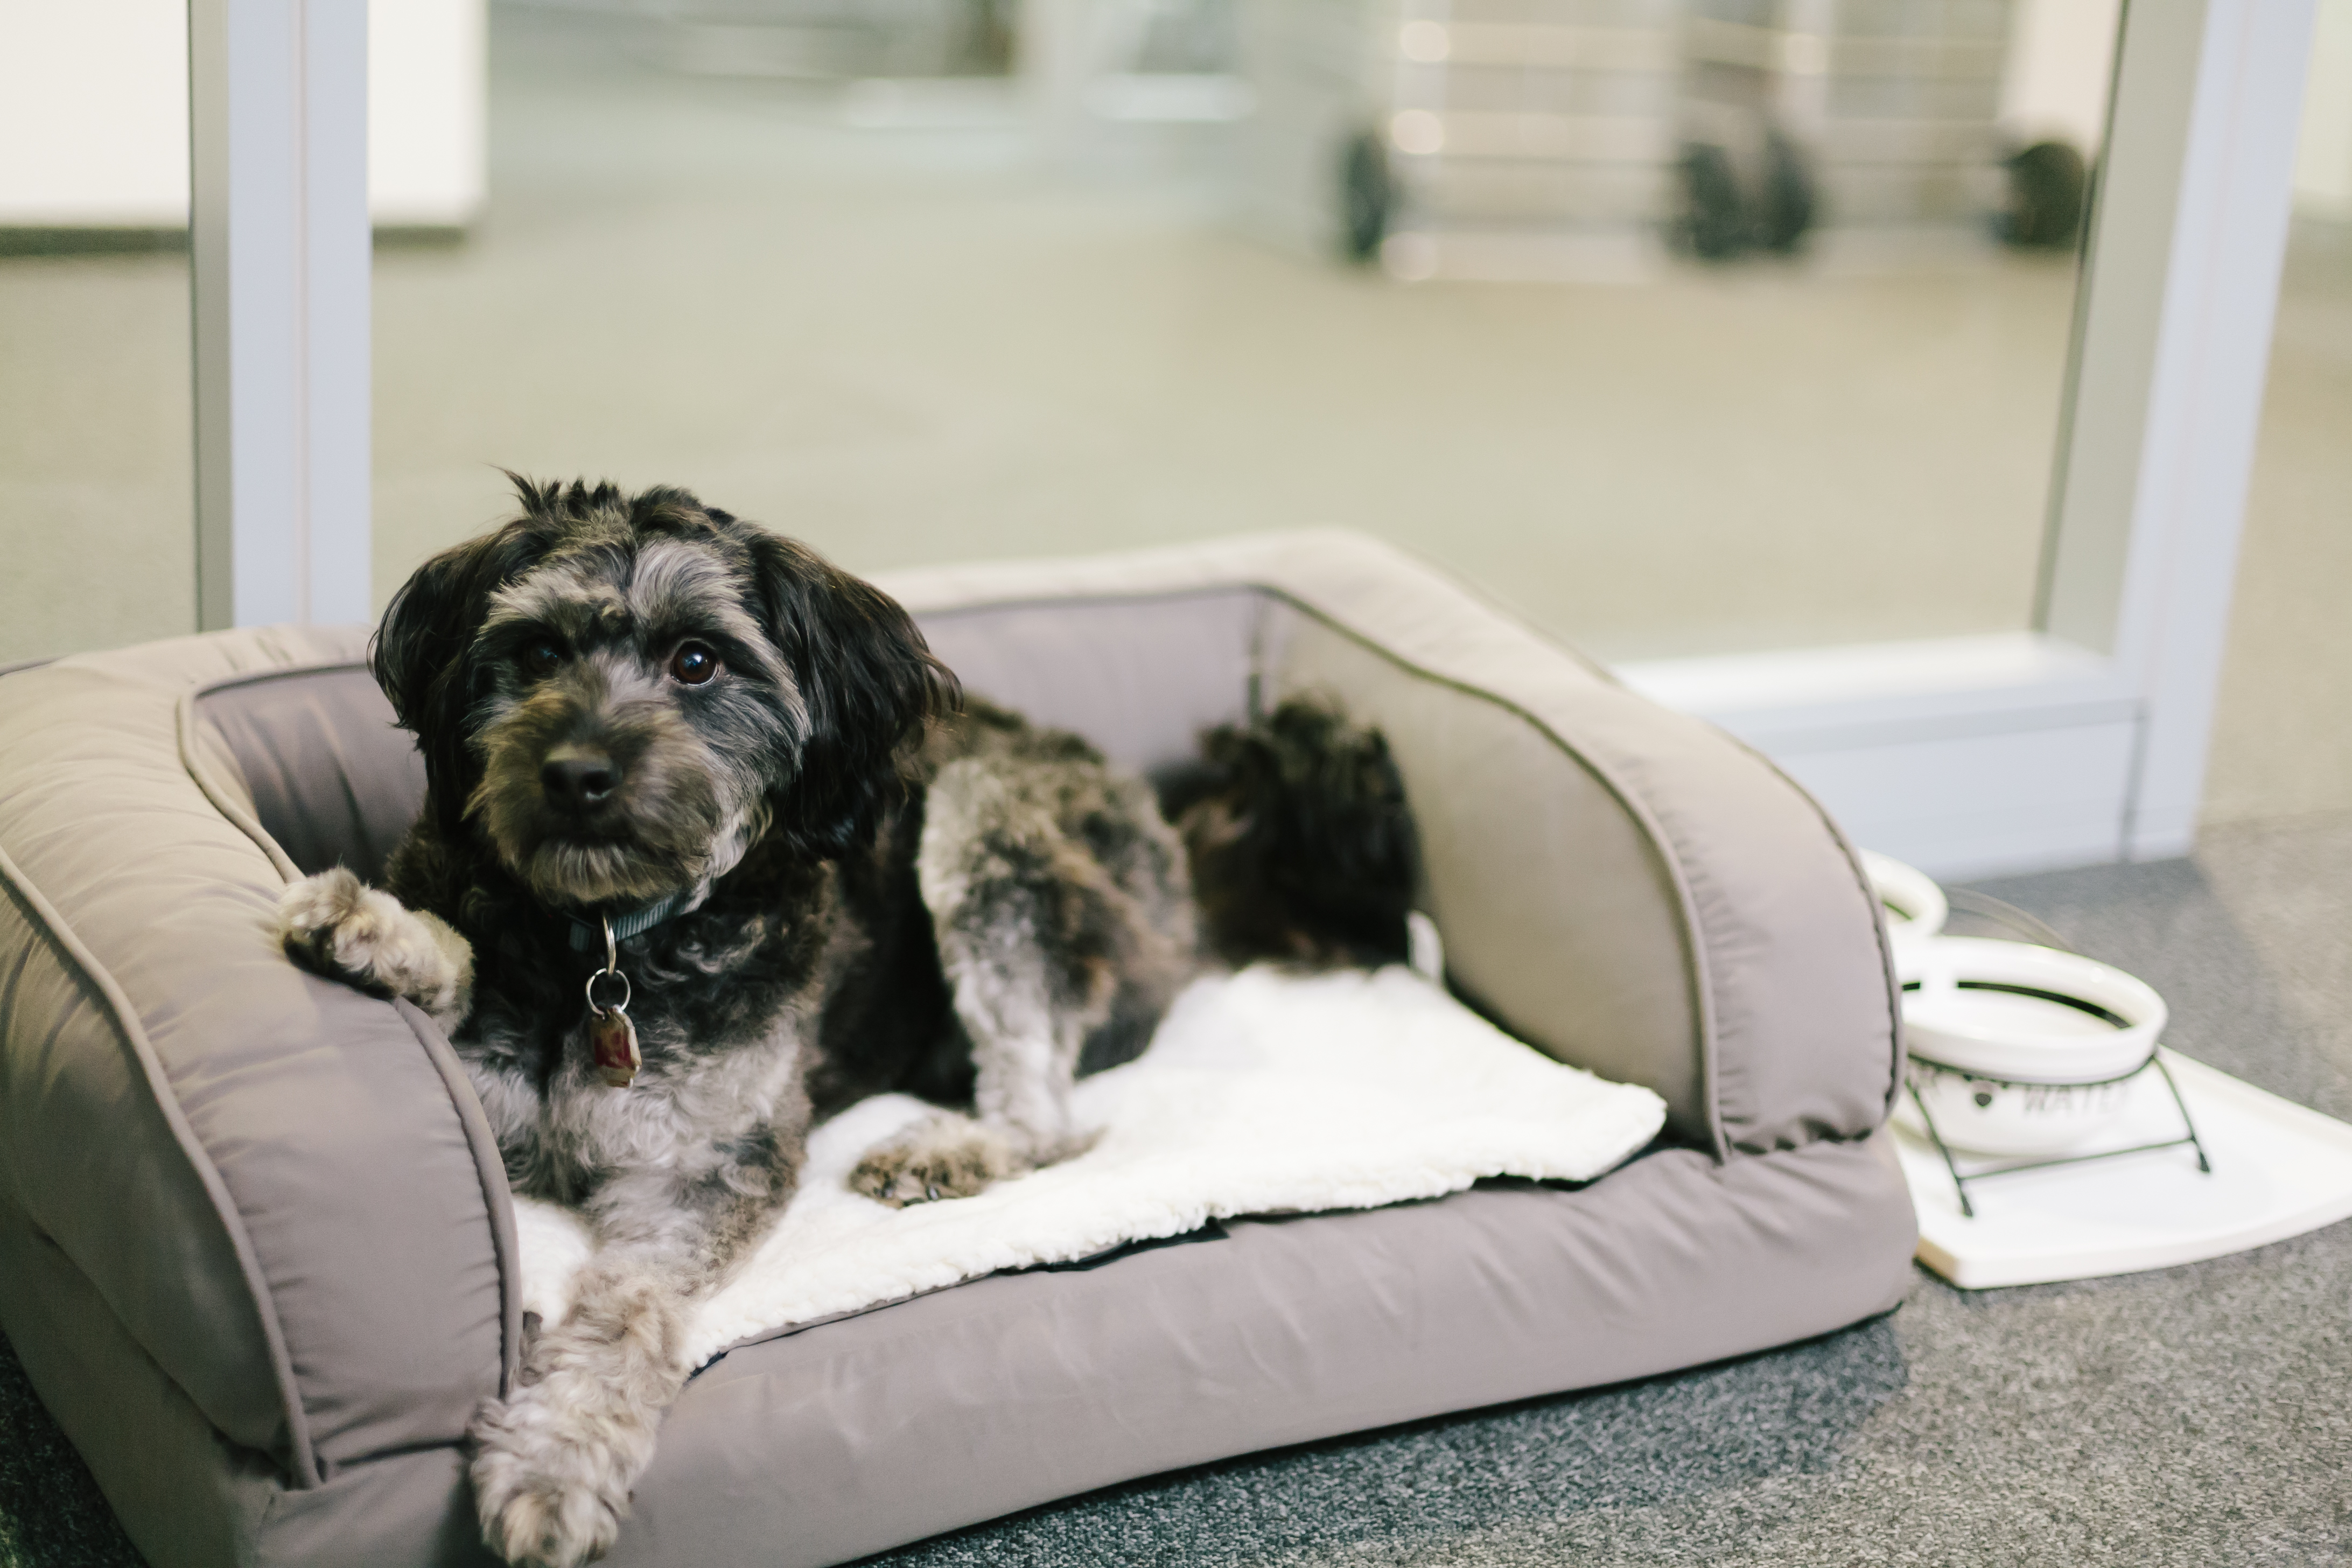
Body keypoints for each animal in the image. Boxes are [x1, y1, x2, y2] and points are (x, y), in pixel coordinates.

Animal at [275, 479, 1411, 1568]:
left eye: (698, 659)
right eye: (539, 650)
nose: (575, 774)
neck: (605, 946)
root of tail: (1179, 856)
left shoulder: (711, 1170)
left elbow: (627, 1308)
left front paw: (556, 1464)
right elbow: (458, 957)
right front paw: (378, 930)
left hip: (986, 823)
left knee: (1047, 1115)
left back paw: (948, 1147)